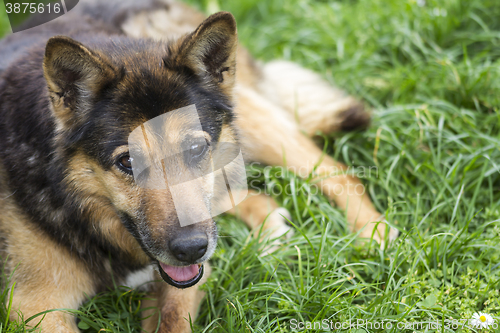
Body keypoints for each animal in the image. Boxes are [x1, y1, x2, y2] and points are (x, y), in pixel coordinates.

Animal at [0, 1, 398, 330]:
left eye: (195, 148)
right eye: (127, 161)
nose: (191, 249)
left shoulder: (185, 279)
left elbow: (173, 317)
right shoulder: (36, 307)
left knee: (336, 171)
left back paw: (374, 234)